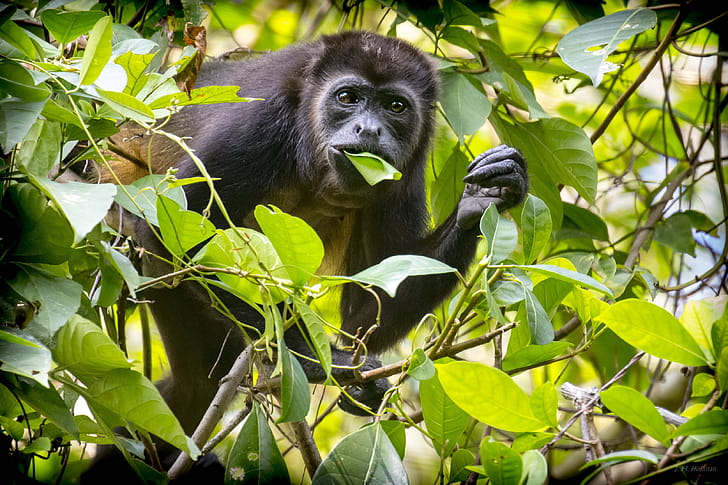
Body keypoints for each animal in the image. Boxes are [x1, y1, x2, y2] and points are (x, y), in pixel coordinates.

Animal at [82, 31, 528, 482]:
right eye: (347, 97)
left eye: (396, 106)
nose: (369, 129)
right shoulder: (260, 122)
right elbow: (174, 234)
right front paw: (316, 361)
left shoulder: (410, 168)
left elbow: (374, 300)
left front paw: (484, 195)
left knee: (197, 385)